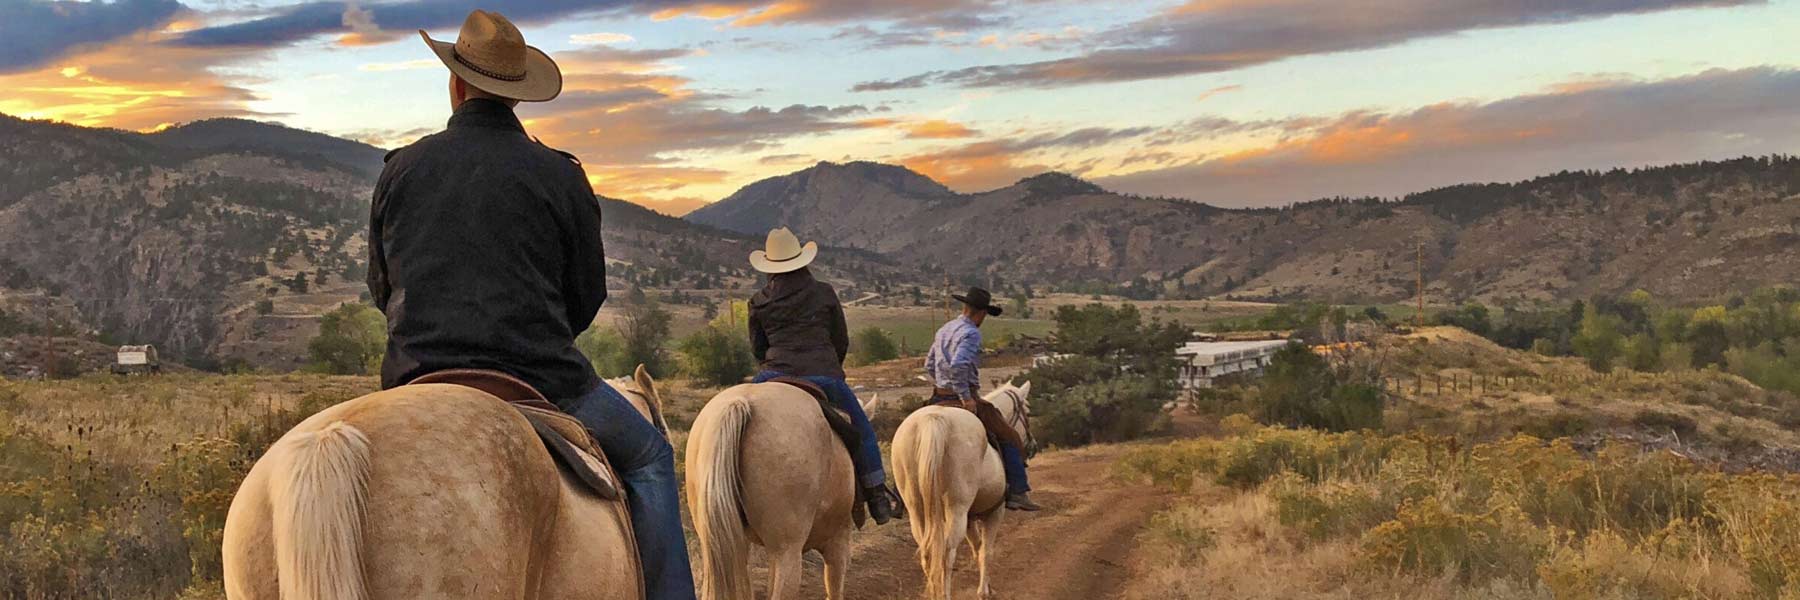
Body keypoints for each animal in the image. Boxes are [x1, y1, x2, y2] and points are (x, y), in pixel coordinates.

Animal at [885, 380, 1029, 594]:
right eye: (1027, 410)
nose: (1031, 442)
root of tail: (933, 421)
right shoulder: (995, 512)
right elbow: (986, 551)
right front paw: (984, 591)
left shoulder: (970, 518)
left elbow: (977, 548)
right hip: (957, 508)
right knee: (946, 552)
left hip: (916, 510)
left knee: (927, 552)